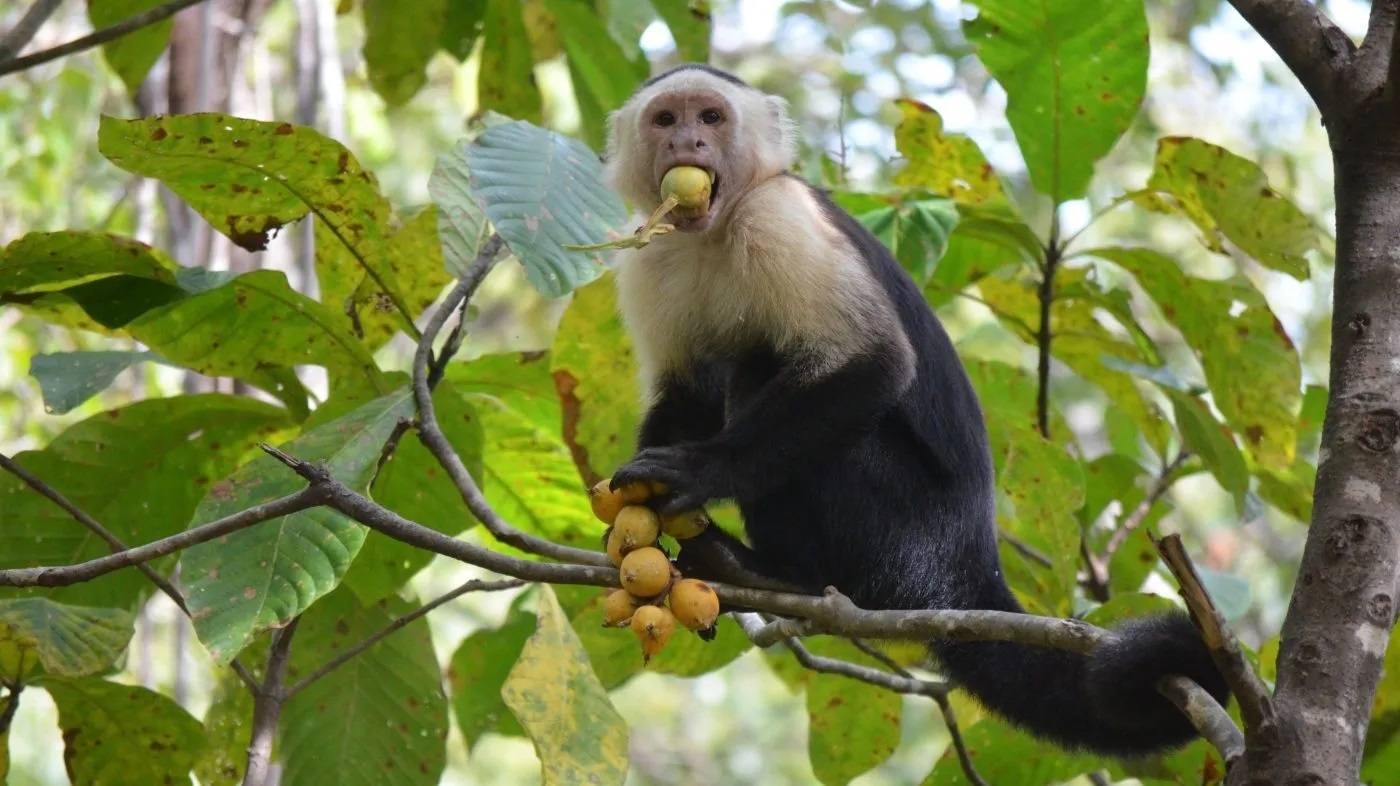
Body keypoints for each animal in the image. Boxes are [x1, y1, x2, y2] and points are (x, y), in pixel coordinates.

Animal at [599, 64, 1226, 756]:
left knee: (768, 372)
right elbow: (685, 394)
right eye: (666, 119)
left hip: (904, 531)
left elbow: (875, 364)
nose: (688, 143)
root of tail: (967, 562)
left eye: (710, 117)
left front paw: (701, 471)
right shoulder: (650, 253)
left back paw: (777, 570)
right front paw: (637, 509)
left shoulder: (779, 217)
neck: (714, 229)